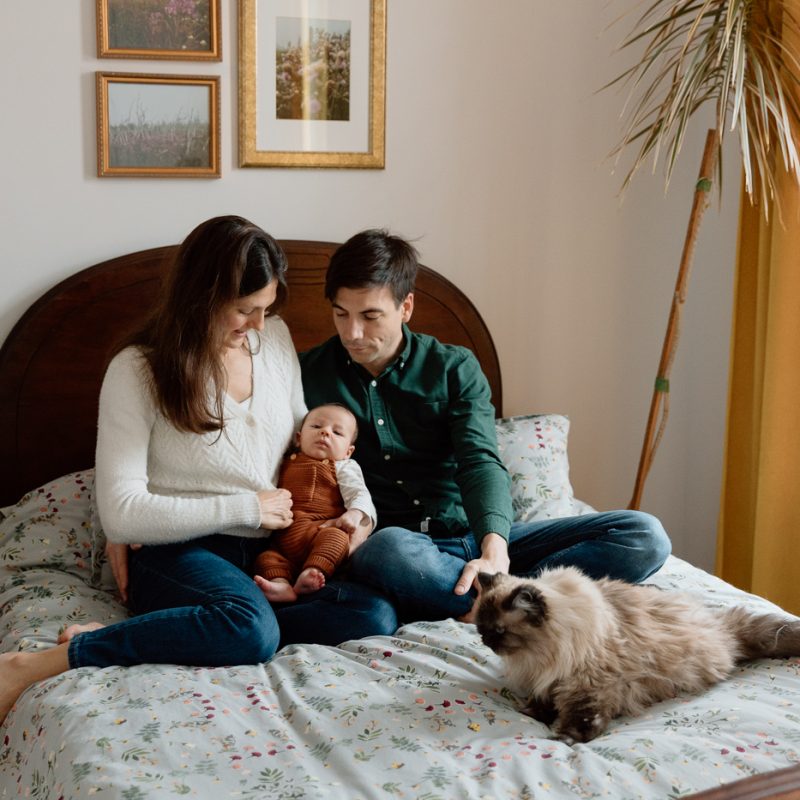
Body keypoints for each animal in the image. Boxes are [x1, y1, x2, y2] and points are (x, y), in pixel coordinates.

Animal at [472, 568, 800, 744]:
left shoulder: (588, 685)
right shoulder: (549, 680)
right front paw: (531, 713)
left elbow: (582, 719)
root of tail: (721, 626)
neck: (541, 655)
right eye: (480, 627)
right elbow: (541, 702)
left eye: (498, 631)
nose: (485, 640)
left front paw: (562, 739)